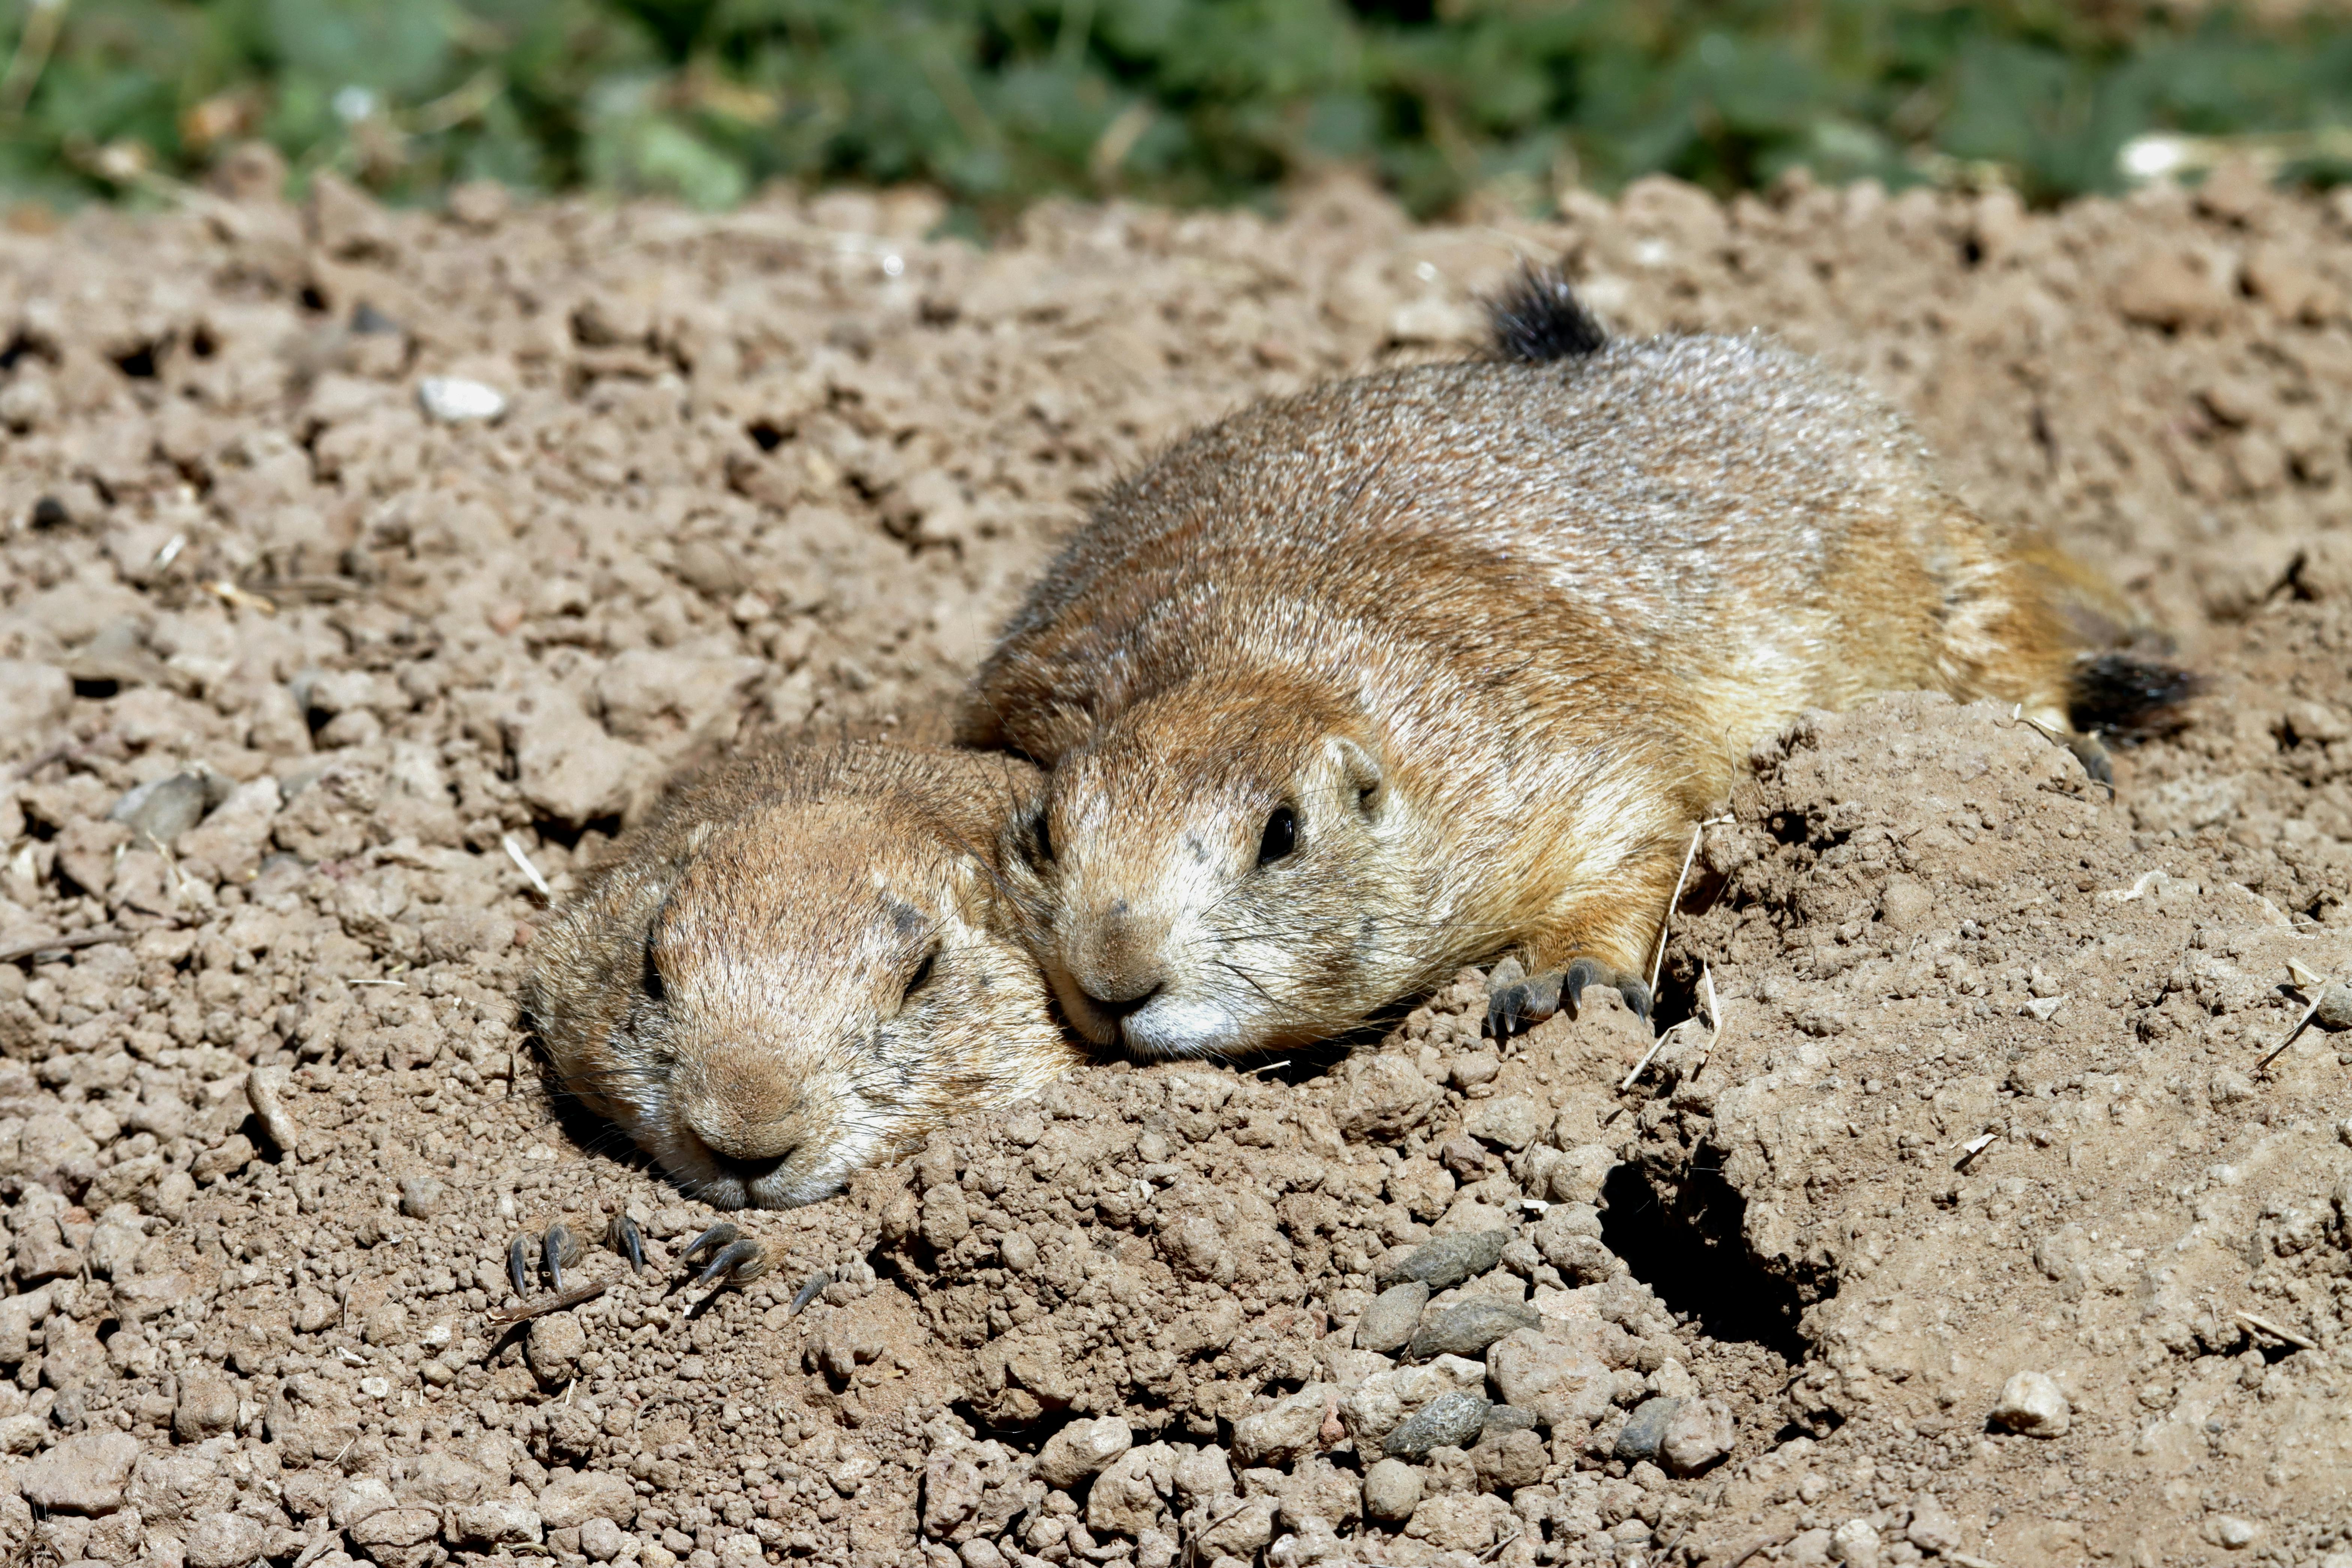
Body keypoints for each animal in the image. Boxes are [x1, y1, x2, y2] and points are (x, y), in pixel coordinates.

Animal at [961, 265, 2195, 1058]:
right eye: (1045, 829)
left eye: (1281, 835)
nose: (1114, 980)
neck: (1254, 647)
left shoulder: (1530, 736)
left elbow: (1632, 822)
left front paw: (1558, 978)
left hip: (1941, 564)